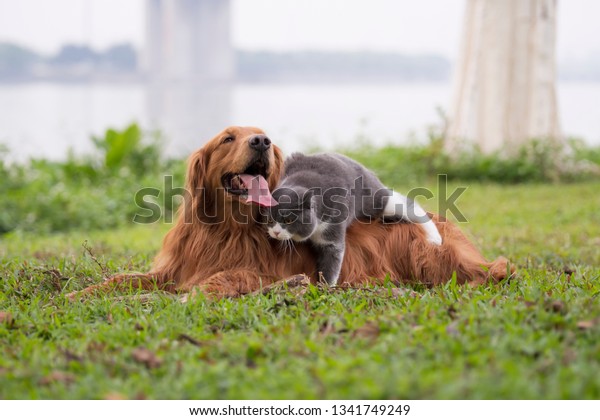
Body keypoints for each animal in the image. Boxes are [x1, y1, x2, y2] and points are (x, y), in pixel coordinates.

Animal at [264, 153, 442, 288]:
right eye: (269, 219)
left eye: (288, 220)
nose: (275, 232)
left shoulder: (332, 229)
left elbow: (332, 260)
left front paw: (325, 288)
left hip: (376, 200)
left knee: (404, 203)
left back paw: (435, 238)